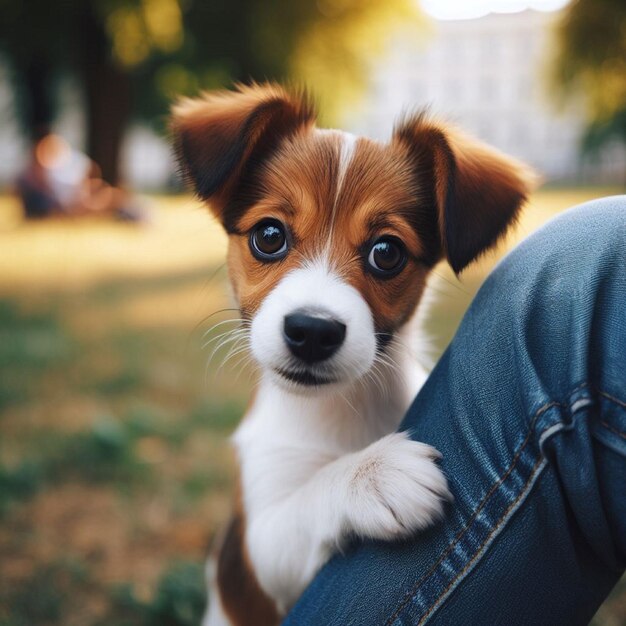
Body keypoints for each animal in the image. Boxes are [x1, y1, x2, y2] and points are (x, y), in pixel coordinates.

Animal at [171, 84, 532, 624]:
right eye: (269, 236)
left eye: (387, 252)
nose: (312, 331)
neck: (339, 411)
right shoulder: (263, 548)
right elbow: (304, 501)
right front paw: (376, 473)